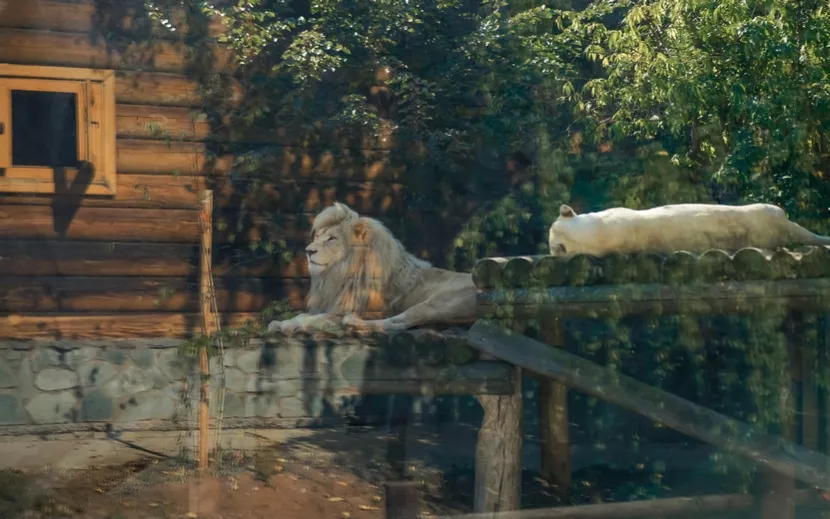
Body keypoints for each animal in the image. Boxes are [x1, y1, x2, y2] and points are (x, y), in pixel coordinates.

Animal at [266, 201, 474, 336]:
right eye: (317, 237)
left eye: (332, 238)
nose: (308, 251)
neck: (339, 273)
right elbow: (305, 314)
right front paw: (279, 322)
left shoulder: (350, 310)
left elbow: (313, 318)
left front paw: (289, 325)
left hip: (439, 302)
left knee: (396, 323)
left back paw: (353, 323)